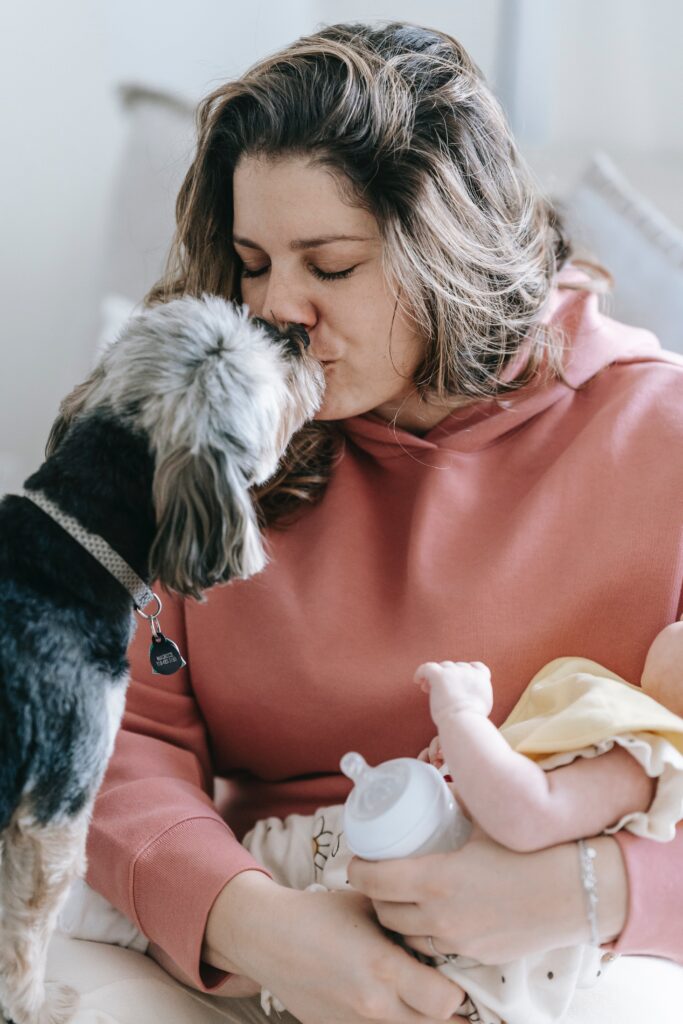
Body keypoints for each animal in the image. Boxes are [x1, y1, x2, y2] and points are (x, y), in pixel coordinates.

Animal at [0, 292, 325, 1019]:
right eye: (268, 366)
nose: (295, 335)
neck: (71, 544)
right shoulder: (53, 810)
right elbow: (24, 935)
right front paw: (37, 1006)